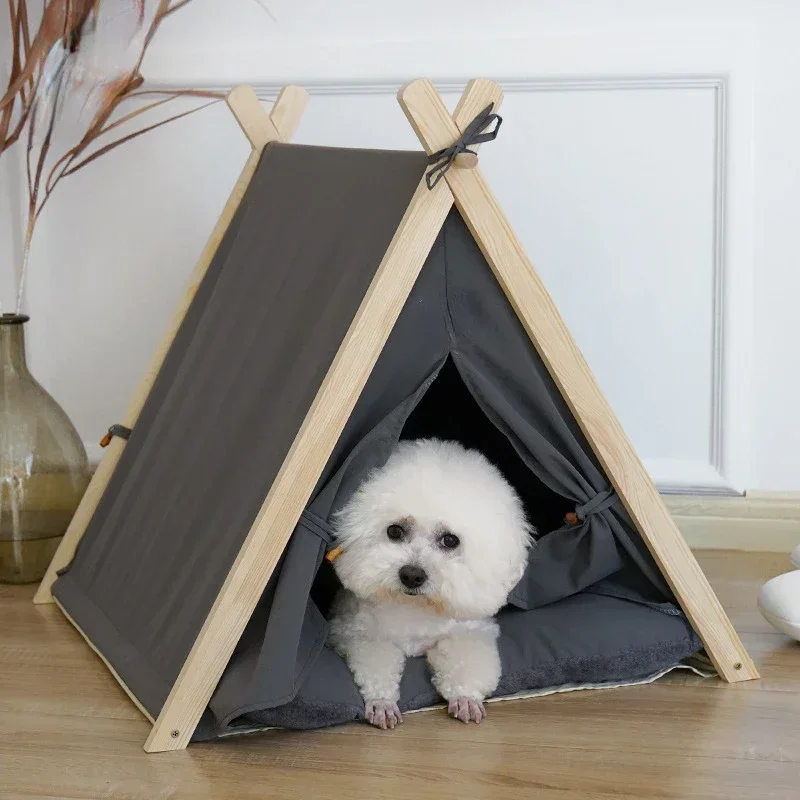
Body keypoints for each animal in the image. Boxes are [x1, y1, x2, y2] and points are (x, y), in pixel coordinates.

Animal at [324, 438, 532, 732]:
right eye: (394, 531)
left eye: (450, 540)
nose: (412, 575)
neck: (415, 608)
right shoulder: (358, 632)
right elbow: (376, 664)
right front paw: (382, 703)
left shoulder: (469, 631)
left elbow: (466, 662)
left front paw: (466, 699)